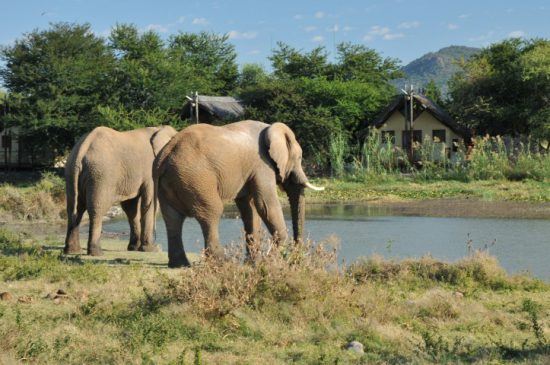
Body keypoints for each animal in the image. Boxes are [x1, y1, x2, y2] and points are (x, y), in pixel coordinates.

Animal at [64, 125, 177, 256]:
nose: (157, 242)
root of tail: (82, 148)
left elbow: (131, 208)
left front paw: (134, 248)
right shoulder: (151, 171)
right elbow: (148, 203)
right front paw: (153, 249)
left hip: (71, 172)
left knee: (74, 209)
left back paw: (72, 251)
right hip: (100, 176)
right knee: (96, 209)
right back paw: (97, 252)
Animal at [153, 121, 326, 266]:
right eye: (300, 157)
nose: (296, 259)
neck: (270, 128)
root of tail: (166, 155)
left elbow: (250, 209)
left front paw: (254, 263)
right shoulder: (262, 165)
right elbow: (266, 205)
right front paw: (271, 262)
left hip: (168, 182)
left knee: (172, 218)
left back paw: (180, 264)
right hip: (196, 179)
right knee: (211, 213)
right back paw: (222, 262)